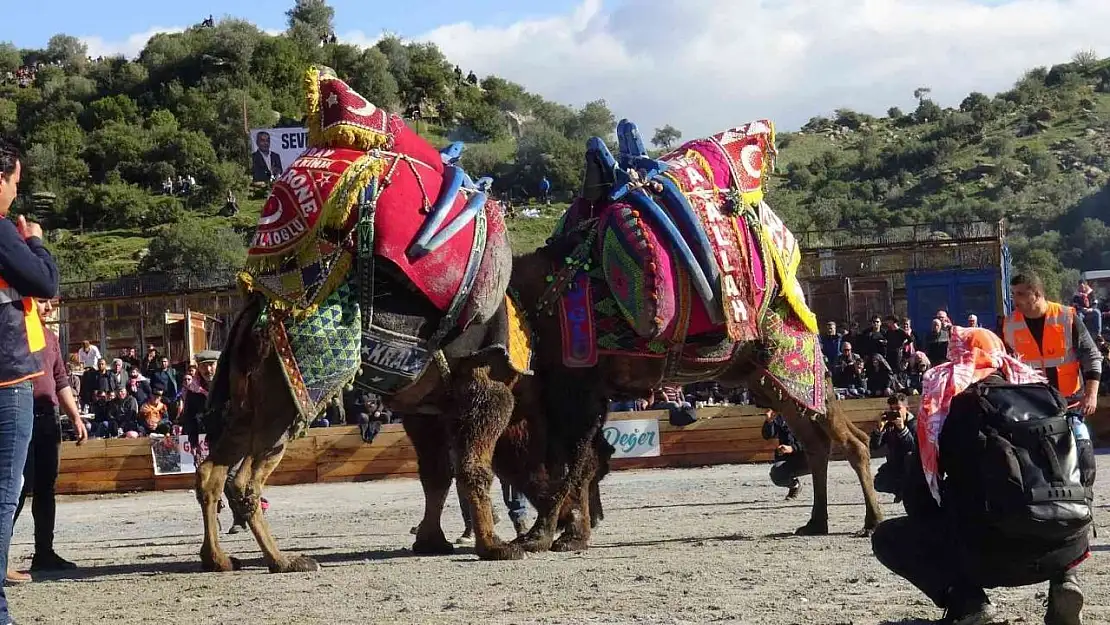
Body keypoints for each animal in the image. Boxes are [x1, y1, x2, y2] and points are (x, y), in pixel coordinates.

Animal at [195, 64, 577, 572]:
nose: (572, 519)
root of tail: (252, 320)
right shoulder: (485, 388)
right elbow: (474, 468)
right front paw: (496, 546)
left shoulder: (426, 408)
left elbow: (436, 472)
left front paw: (433, 540)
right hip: (285, 400)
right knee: (244, 482)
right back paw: (285, 560)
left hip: (244, 403)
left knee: (210, 473)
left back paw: (219, 558)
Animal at [508, 119, 879, 555]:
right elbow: (578, 458)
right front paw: (567, 531)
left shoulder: (580, 384)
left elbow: (574, 460)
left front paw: (548, 534)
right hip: (768, 379)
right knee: (818, 442)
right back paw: (816, 521)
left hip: (794, 356)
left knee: (851, 440)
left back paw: (871, 520)